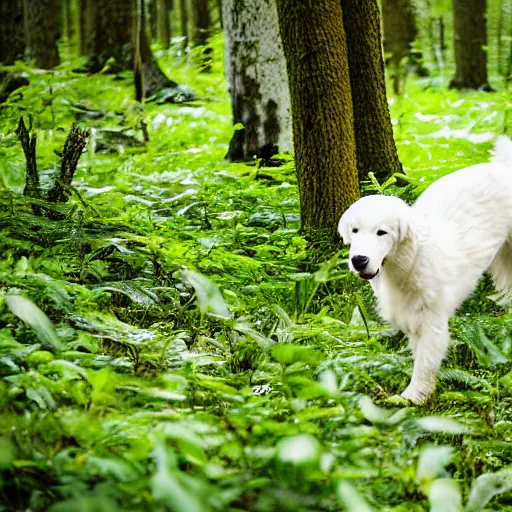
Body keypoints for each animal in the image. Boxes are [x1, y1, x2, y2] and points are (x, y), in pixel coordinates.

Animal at [340, 136, 512, 404]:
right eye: (355, 230)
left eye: (382, 232)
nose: (359, 260)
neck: (408, 261)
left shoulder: (433, 317)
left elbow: (426, 360)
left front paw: (414, 397)